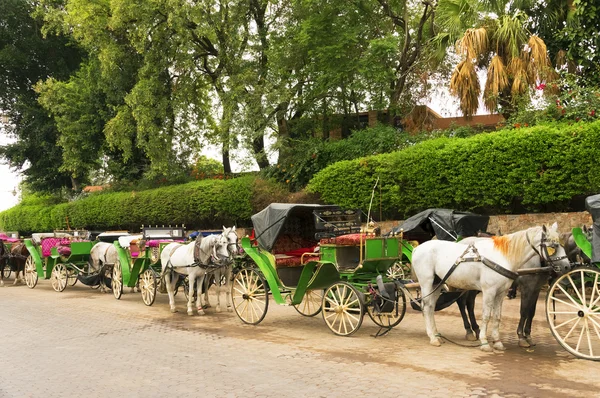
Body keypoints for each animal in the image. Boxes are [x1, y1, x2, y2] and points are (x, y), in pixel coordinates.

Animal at [412, 224, 568, 352]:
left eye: (562, 244)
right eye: (553, 246)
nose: (567, 266)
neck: (503, 257)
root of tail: (417, 249)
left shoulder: (502, 293)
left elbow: (498, 316)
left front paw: (497, 342)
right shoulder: (491, 291)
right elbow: (487, 316)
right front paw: (485, 342)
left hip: (437, 283)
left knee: (432, 307)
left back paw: (437, 334)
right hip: (427, 282)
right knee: (428, 306)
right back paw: (434, 337)